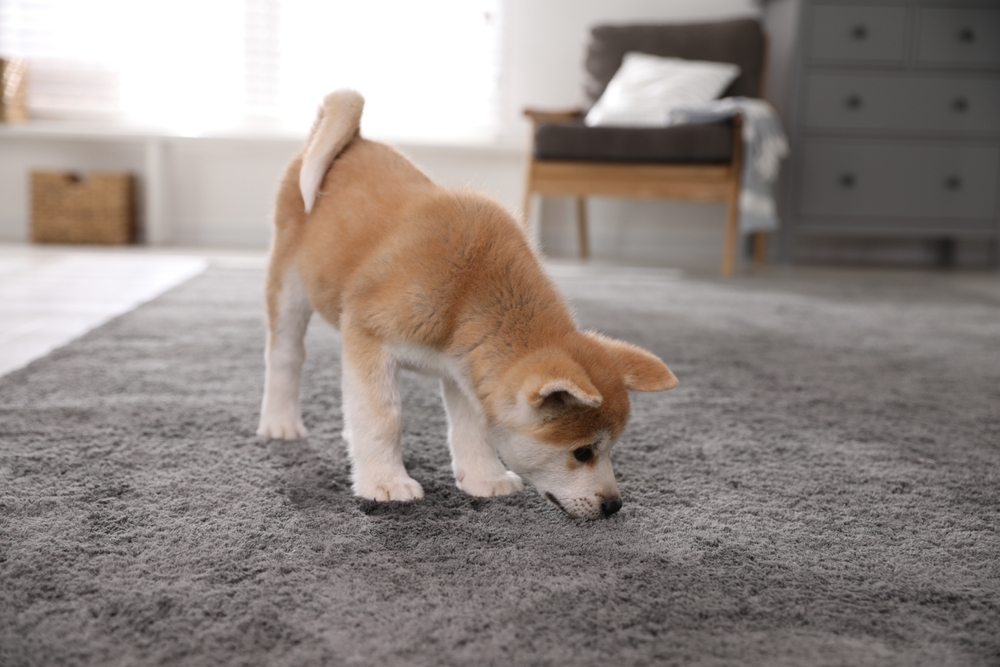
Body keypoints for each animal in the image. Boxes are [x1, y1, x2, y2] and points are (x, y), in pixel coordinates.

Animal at [258, 88, 680, 520]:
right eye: (582, 452)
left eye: (612, 447)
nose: (614, 505)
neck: (469, 291)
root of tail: (356, 140)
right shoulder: (367, 337)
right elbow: (382, 418)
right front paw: (384, 482)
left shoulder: (464, 368)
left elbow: (471, 428)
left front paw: (483, 478)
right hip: (289, 284)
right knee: (286, 355)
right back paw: (280, 422)